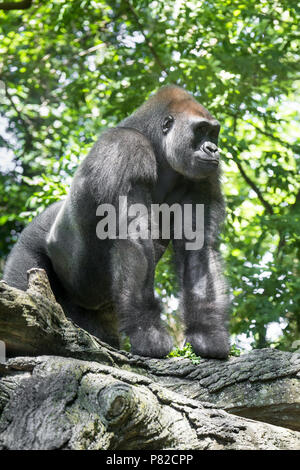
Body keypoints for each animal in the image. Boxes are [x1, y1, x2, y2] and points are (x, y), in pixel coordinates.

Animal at [2, 86, 230, 358]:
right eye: (201, 130)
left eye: (213, 133)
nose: (213, 149)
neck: (156, 145)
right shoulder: (128, 149)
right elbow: (134, 240)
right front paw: (148, 334)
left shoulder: (203, 178)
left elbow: (198, 248)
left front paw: (208, 335)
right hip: (27, 247)